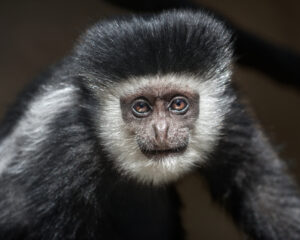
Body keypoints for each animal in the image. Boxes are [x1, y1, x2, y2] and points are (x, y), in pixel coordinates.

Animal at [0, 7, 300, 240]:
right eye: (141, 107)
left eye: (178, 104)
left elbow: (265, 195)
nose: (161, 131)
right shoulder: (64, 151)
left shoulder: (230, 117)